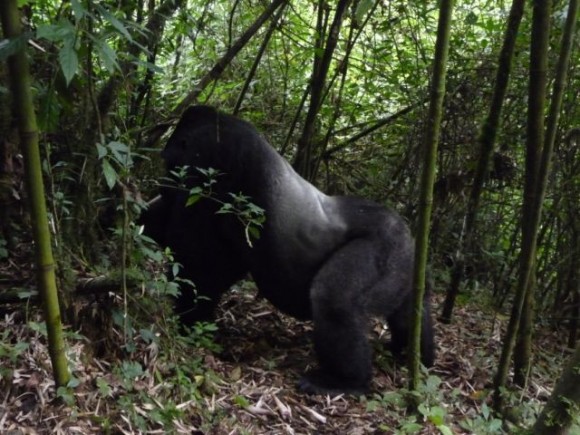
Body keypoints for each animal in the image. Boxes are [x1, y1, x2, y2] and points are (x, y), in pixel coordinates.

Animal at [140, 105, 432, 396]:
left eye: (168, 162)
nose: (163, 185)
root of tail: (407, 233)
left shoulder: (210, 164)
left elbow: (199, 264)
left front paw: (188, 321)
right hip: (406, 264)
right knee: (411, 309)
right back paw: (416, 355)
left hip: (388, 243)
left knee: (333, 299)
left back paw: (346, 381)